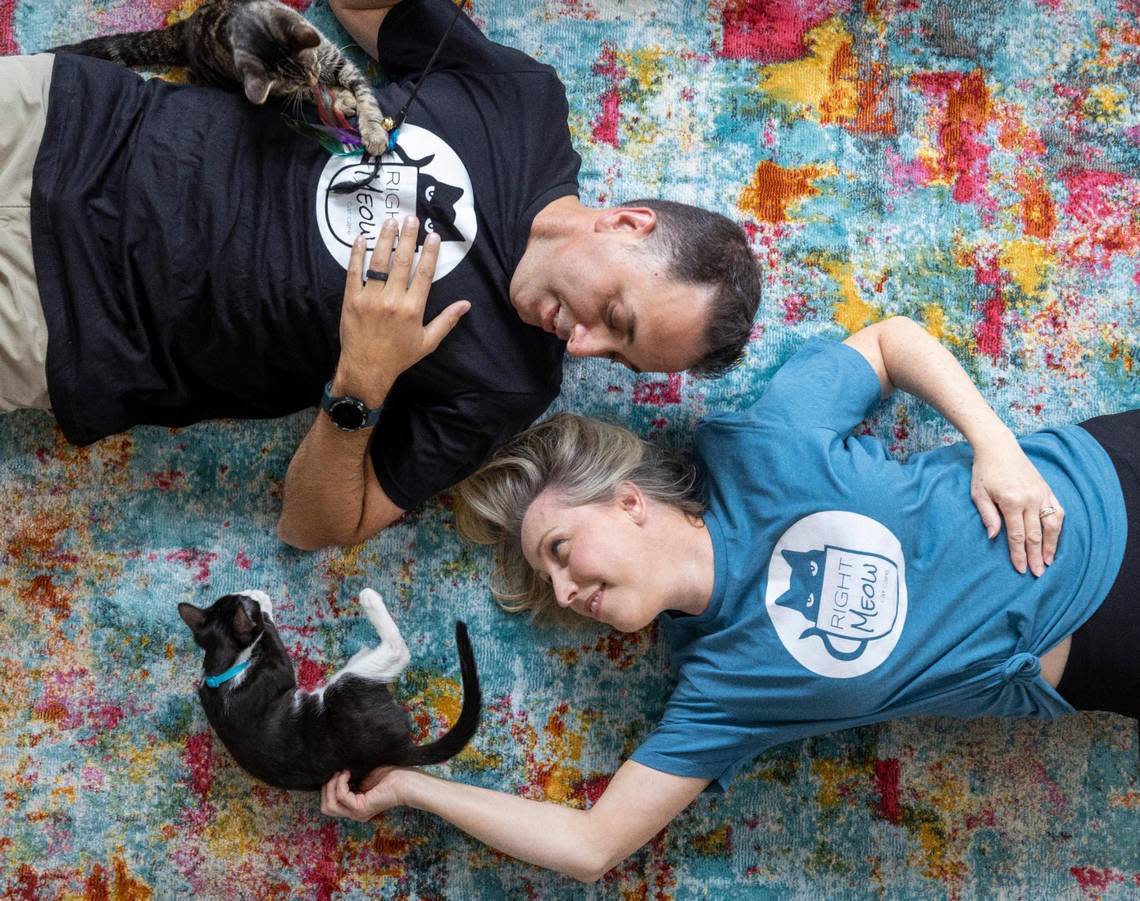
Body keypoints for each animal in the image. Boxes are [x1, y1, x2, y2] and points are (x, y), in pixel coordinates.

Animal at [51, 0, 389, 155]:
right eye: (294, 80)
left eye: (311, 62)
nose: (312, 77)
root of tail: (184, 29)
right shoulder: (278, 90)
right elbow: (319, 95)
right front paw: (340, 99)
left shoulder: (336, 60)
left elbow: (365, 95)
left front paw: (372, 129)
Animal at [177, 583, 481, 789]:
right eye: (246, 604)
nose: (248, 597)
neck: (222, 671)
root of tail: (396, 748)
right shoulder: (277, 670)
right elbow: (269, 632)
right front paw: (263, 603)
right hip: (346, 688)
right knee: (398, 651)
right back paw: (370, 600)